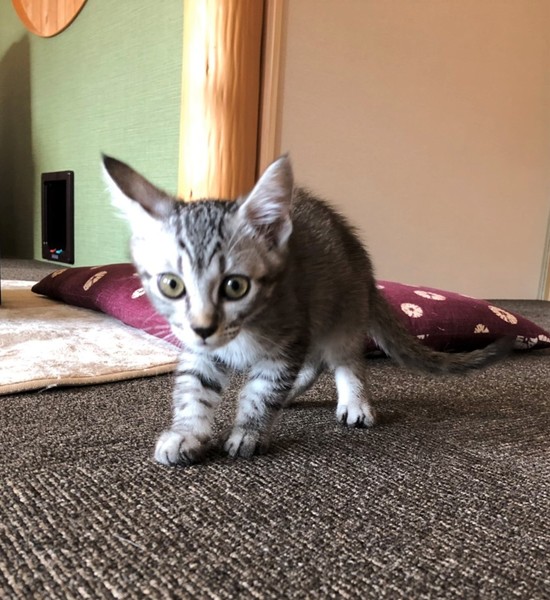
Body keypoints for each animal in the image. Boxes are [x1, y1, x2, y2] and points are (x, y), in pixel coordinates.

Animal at [103, 154, 511, 467]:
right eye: (172, 285)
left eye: (235, 286)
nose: (203, 327)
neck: (245, 330)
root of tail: (363, 264)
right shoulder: (203, 350)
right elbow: (195, 389)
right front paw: (186, 433)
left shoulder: (288, 334)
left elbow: (262, 390)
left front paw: (249, 431)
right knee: (314, 362)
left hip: (342, 311)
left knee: (344, 359)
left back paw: (353, 400)